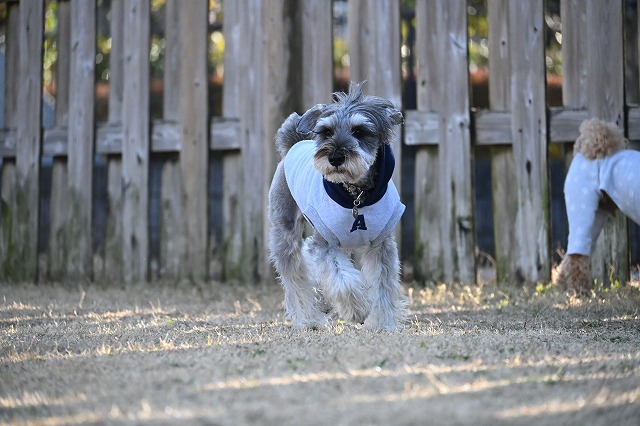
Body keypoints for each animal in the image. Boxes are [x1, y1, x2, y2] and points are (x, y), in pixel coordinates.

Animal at [268, 82, 408, 331]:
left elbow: (384, 284)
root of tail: (293, 143)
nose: (335, 158)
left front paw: (383, 323)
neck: (356, 194)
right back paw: (309, 319)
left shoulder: (382, 245)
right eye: (326, 132)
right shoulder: (326, 244)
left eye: (359, 131)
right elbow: (342, 279)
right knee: (294, 274)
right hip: (285, 229)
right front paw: (359, 310)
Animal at [556, 118, 640, 292]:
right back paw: (579, 287)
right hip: (582, 205)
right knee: (576, 254)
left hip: (597, 215)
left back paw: (562, 284)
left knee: (574, 252)